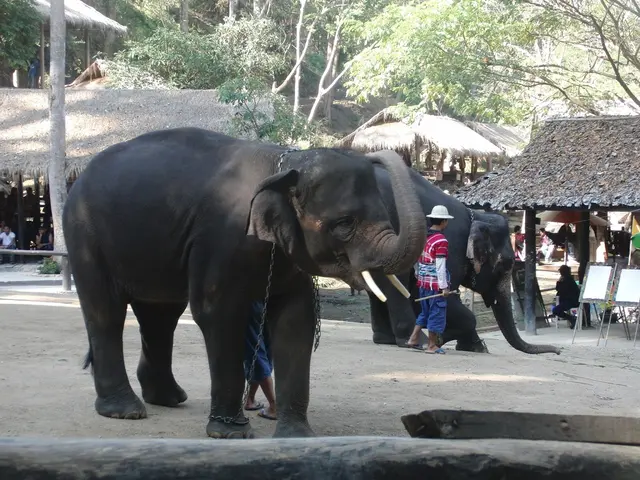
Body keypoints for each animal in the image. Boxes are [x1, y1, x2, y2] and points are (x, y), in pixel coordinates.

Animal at [62, 127, 427, 439]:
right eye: (344, 223)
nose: (379, 153)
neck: (285, 163)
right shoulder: (221, 238)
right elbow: (216, 314)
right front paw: (230, 433)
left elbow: (297, 319)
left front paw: (297, 436)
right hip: (83, 234)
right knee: (106, 310)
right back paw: (125, 411)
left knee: (161, 316)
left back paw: (168, 398)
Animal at [358, 165, 561, 355]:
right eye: (505, 264)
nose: (558, 350)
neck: (476, 215)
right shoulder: (452, 247)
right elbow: (431, 295)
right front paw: (450, 340)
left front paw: (473, 346)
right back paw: (413, 341)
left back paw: (385, 339)